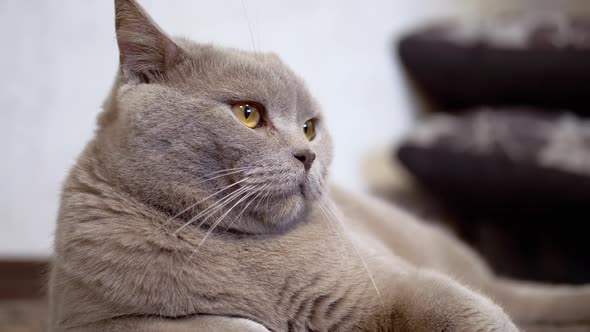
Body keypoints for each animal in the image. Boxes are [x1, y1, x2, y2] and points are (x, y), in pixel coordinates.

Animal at [48, 0, 590, 332]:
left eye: (309, 128)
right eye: (249, 114)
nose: (306, 154)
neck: (242, 251)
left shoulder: (400, 284)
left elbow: (466, 311)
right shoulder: (89, 320)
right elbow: (216, 324)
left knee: (512, 297)